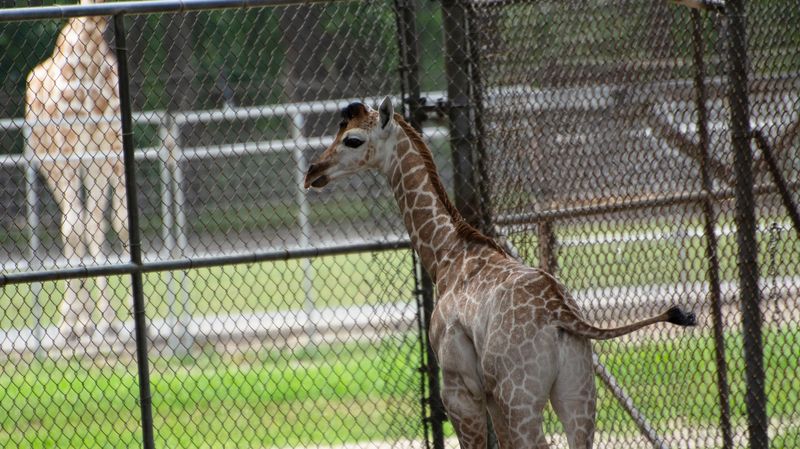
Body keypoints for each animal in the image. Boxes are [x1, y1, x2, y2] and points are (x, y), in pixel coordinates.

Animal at [25, 0, 128, 343]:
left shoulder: (108, 153)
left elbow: (112, 223)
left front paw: (111, 321)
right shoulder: (68, 152)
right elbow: (74, 228)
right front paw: (74, 322)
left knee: (89, 222)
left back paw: (88, 321)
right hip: (51, 167)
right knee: (71, 223)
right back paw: (75, 322)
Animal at [304, 98, 697, 449]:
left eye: (352, 139)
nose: (312, 172)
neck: (447, 254)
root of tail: (562, 315)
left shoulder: (460, 390)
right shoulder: (493, 396)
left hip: (518, 397)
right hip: (578, 392)